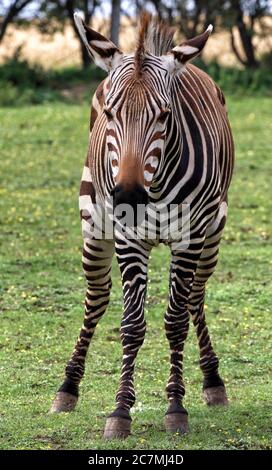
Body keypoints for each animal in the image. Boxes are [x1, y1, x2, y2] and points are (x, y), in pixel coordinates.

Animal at [50, 10, 234, 436]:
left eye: (165, 116)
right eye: (111, 113)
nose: (130, 196)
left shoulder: (190, 237)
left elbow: (176, 321)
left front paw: (176, 407)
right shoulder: (128, 238)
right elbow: (132, 325)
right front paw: (120, 412)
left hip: (214, 233)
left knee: (195, 298)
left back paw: (213, 381)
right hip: (94, 227)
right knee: (97, 298)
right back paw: (67, 387)